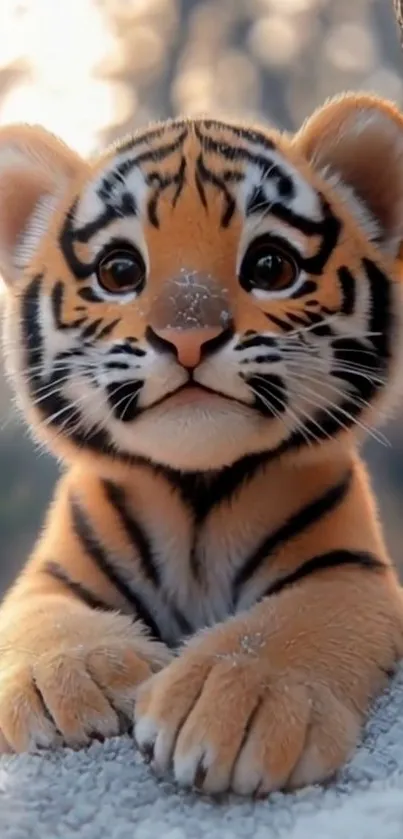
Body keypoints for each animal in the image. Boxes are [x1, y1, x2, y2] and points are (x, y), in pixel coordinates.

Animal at [0, 91, 403, 797]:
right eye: (119, 271)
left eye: (270, 266)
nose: (187, 335)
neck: (196, 492)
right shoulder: (48, 576)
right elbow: (41, 617)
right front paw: (70, 676)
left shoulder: (350, 571)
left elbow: (289, 623)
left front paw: (240, 700)